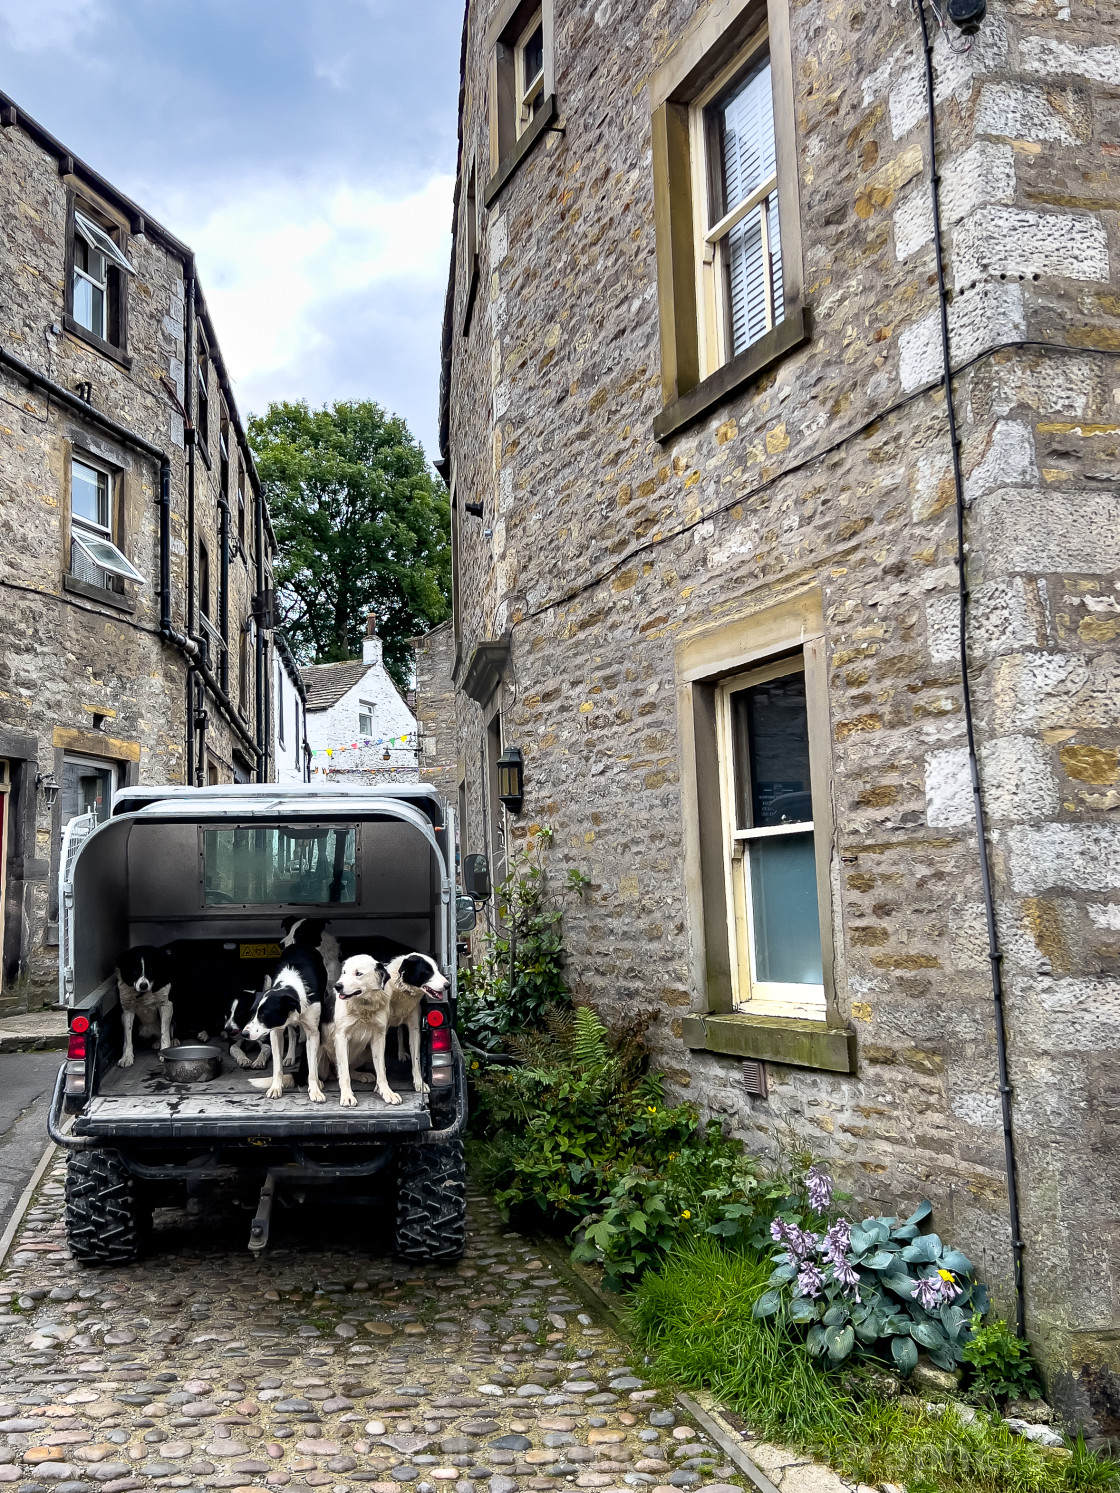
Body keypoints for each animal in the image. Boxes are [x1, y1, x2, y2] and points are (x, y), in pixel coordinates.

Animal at [322, 955, 450, 1110]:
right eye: (427, 972)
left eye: (358, 973)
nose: (448, 985)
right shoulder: (343, 1037)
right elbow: (346, 1071)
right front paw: (350, 1095)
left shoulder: (409, 1029)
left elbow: (411, 1060)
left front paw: (417, 1083)